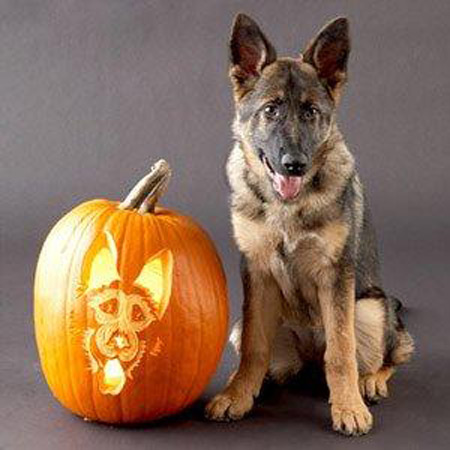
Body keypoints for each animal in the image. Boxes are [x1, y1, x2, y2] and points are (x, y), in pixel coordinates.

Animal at [206, 14, 414, 436]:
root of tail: (307, 355)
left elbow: (341, 352)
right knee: (264, 356)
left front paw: (348, 407)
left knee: (387, 353)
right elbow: (254, 348)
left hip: (371, 308)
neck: (287, 206)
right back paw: (252, 382)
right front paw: (237, 395)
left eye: (311, 112)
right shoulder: (255, 272)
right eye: (270, 110)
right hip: (248, 326)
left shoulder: (336, 276)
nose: (294, 165)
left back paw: (370, 381)